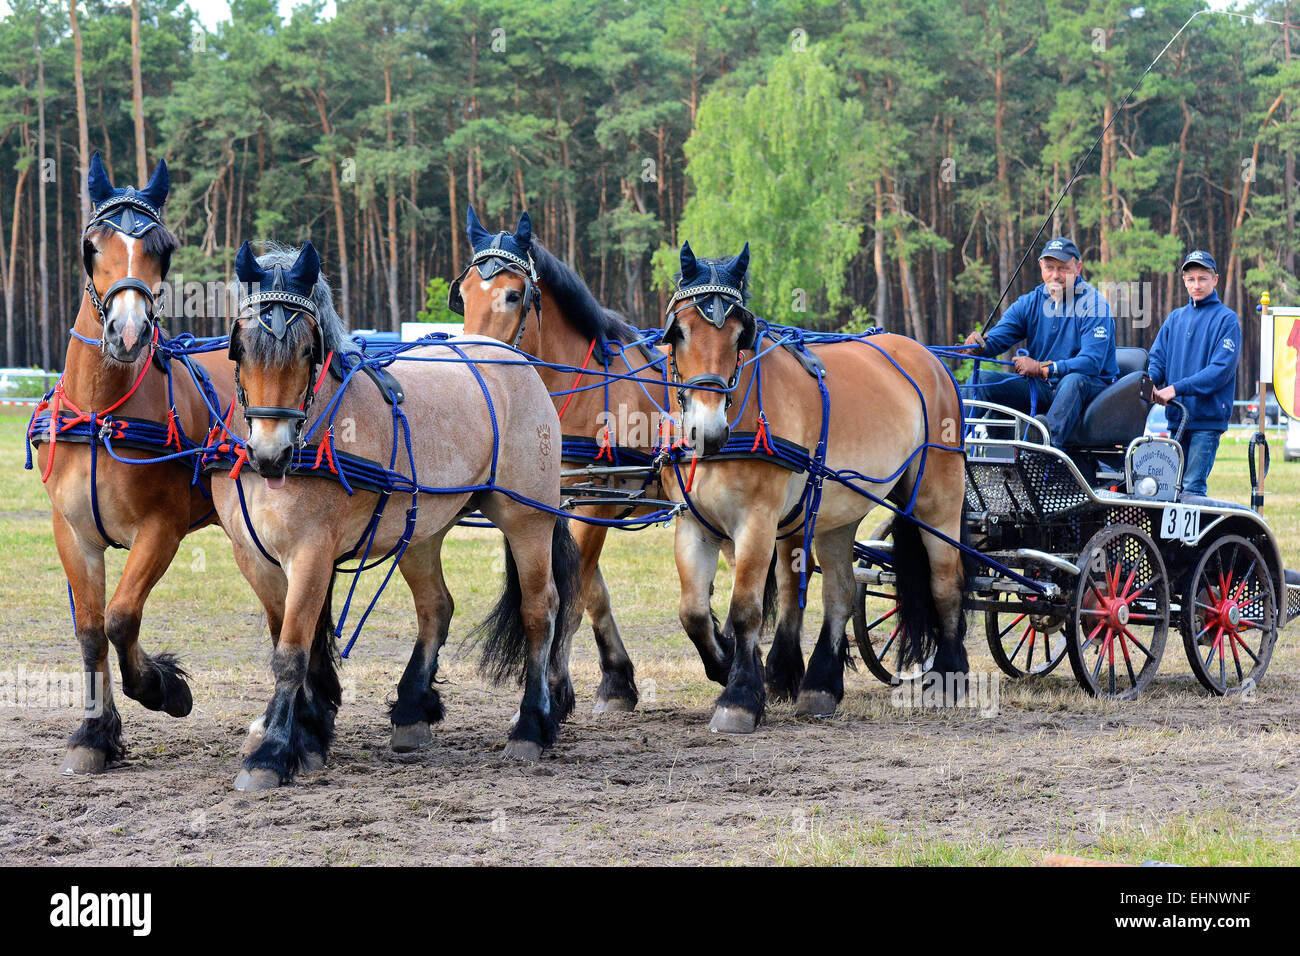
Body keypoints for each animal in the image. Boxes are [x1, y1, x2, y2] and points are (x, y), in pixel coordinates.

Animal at [30, 151, 236, 780]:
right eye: (90, 246)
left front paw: (162, 687)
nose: (127, 332)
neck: (103, 412)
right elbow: (90, 628)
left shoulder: (161, 528)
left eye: (163, 249)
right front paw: (95, 734)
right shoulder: (73, 532)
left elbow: (122, 617)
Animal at [213, 240, 579, 790]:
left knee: (540, 610)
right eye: (239, 347)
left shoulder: (311, 553)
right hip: (421, 529)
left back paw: (531, 726)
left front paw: (271, 754)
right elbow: (298, 644)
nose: (270, 455)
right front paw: (307, 738)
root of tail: (512, 357)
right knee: (436, 608)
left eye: (307, 351)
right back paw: (410, 712)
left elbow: (293, 652)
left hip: (526, 517)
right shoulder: (254, 558)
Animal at [665, 240, 972, 733]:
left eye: (739, 336)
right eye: (680, 332)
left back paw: (948, 675)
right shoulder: (694, 524)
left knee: (946, 581)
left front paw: (739, 696)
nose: (705, 432)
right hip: (836, 512)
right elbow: (692, 611)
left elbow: (745, 607)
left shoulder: (757, 520)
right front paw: (727, 664)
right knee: (841, 592)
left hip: (937, 496)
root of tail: (927, 357)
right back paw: (820, 684)